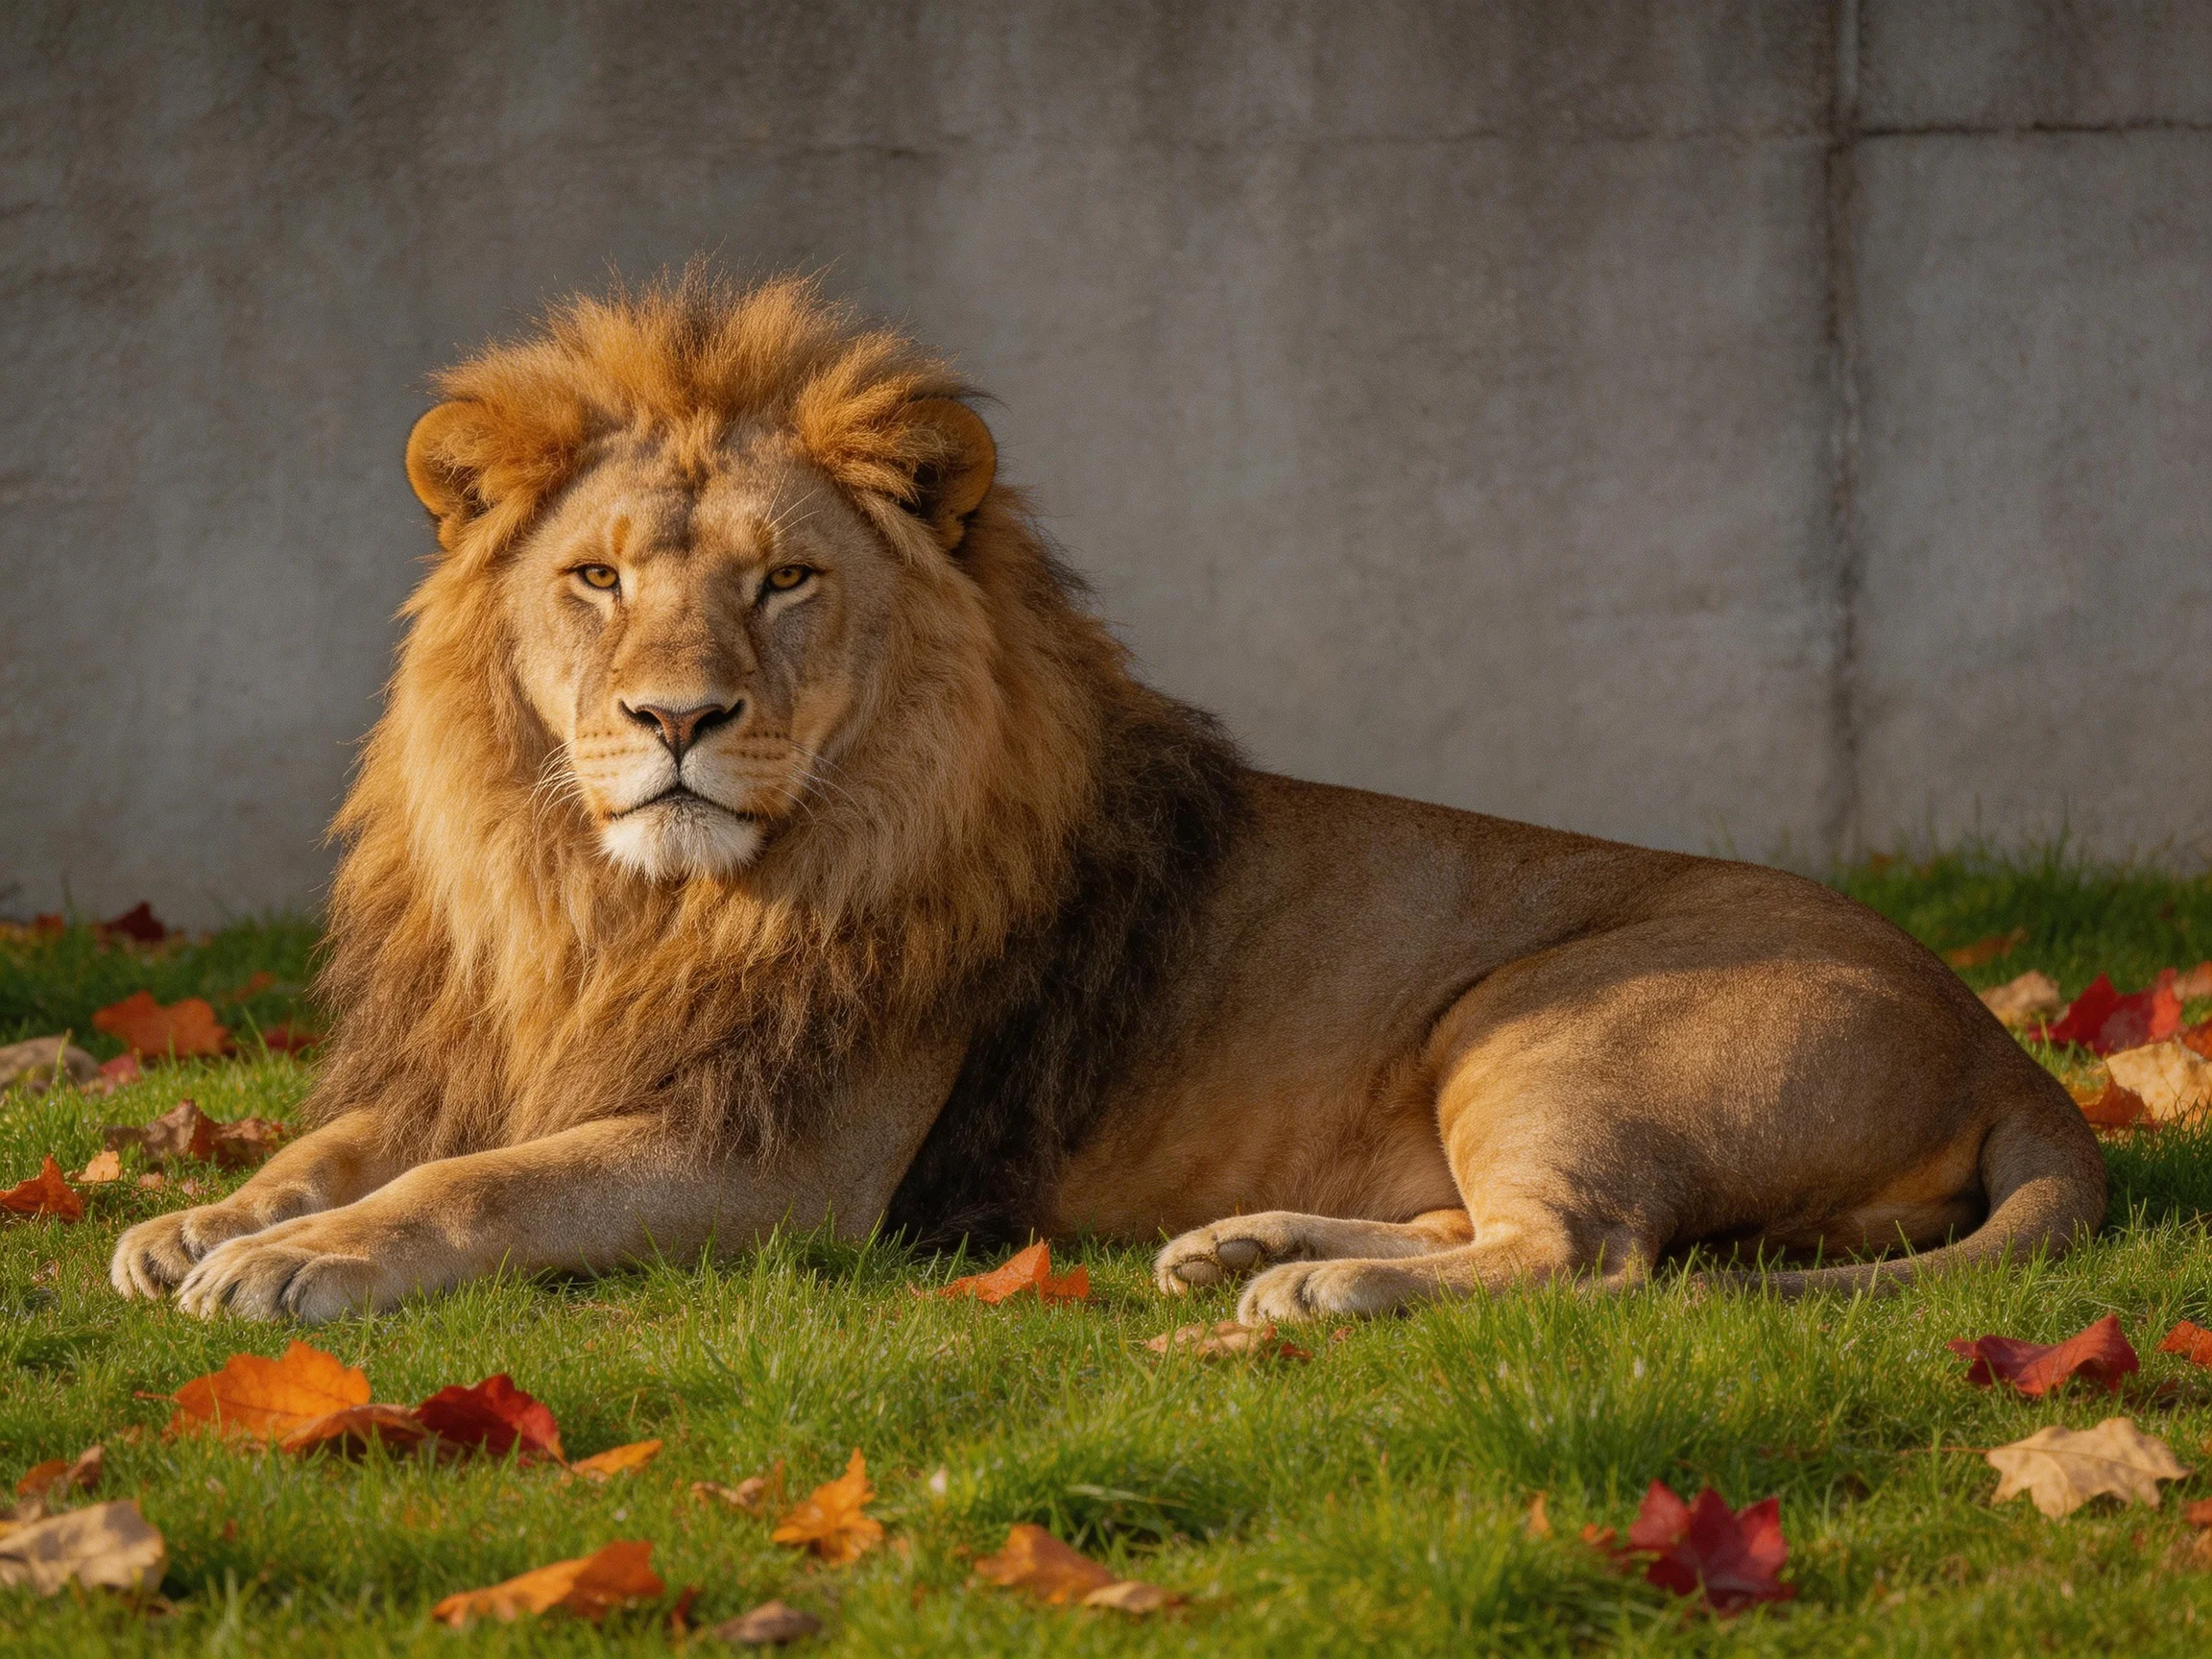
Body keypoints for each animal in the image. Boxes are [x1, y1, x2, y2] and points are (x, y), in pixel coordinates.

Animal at [110, 273, 2105, 1325]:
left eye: (785, 581)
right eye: (594, 578)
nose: (676, 717)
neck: (620, 897)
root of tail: (2003, 1045)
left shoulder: (768, 1156)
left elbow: (482, 1185)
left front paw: (292, 1264)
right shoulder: (501, 1042)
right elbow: (358, 1138)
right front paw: (205, 1217)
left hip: (1543, 1012)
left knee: (1588, 1252)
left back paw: (1312, 1294)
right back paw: (1249, 1241)